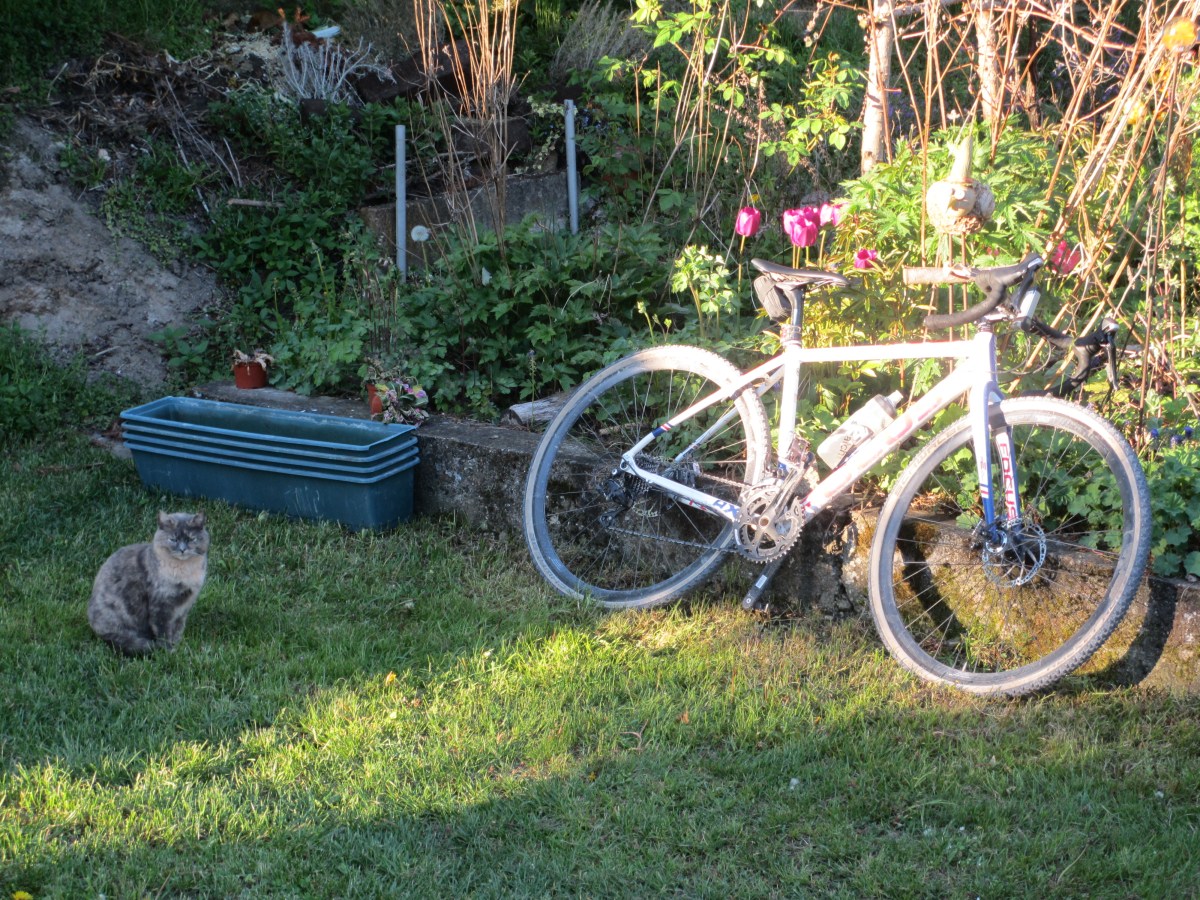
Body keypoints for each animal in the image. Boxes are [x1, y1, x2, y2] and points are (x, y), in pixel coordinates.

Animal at [87, 511, 210, 655]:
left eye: (191, 539)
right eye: (173, 539)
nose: (182, 549)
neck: (184, 572)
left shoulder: (183, 609)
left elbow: (178, 630)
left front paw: (178, 646)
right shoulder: (161, 606)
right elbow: (164, 632)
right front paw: (169, 652)